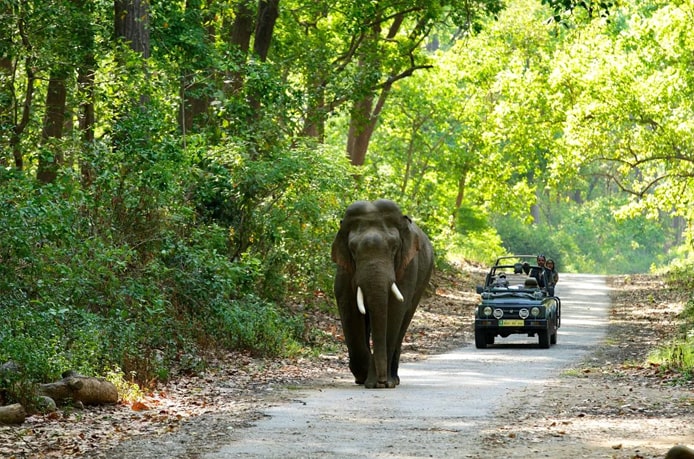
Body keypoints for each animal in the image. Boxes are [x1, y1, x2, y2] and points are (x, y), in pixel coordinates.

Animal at [332, 199, 436, 390]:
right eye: (353, 249)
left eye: (394, 247)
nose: (380, 381)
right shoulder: (344, 269)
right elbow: (349, 308)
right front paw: (364, 377)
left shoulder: (408, 267)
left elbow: (394, 309)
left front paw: (380, 383)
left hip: (424, 279)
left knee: (404, 321)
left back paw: (394, 379)